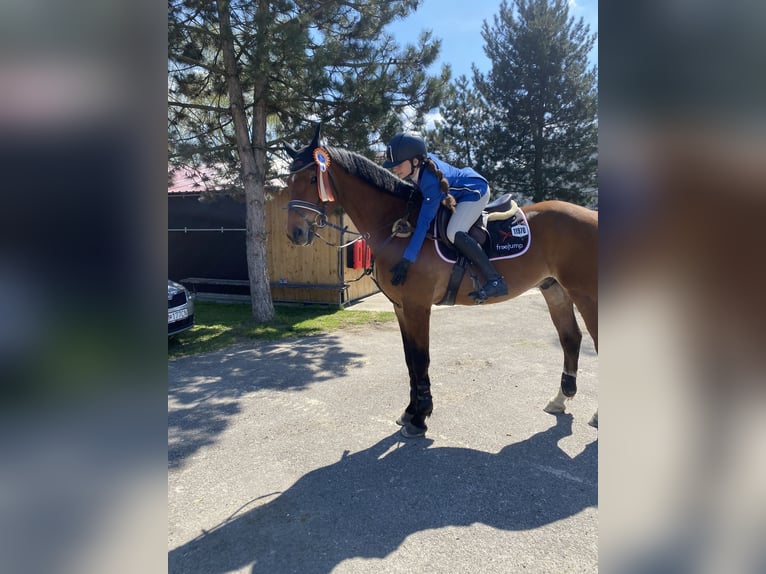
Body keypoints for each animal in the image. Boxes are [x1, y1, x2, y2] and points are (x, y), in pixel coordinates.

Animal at [284, 128, 600, 438]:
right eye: (289, 180)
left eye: (312, 178)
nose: (295, 234)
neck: (398, 227)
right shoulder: (401, 307)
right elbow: (410, 361)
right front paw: (411, 411)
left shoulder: (417, 306)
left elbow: (421, 359)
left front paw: (419, 417)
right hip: (555, 290)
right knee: (571, 339)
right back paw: (560, 399)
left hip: (586, 295)